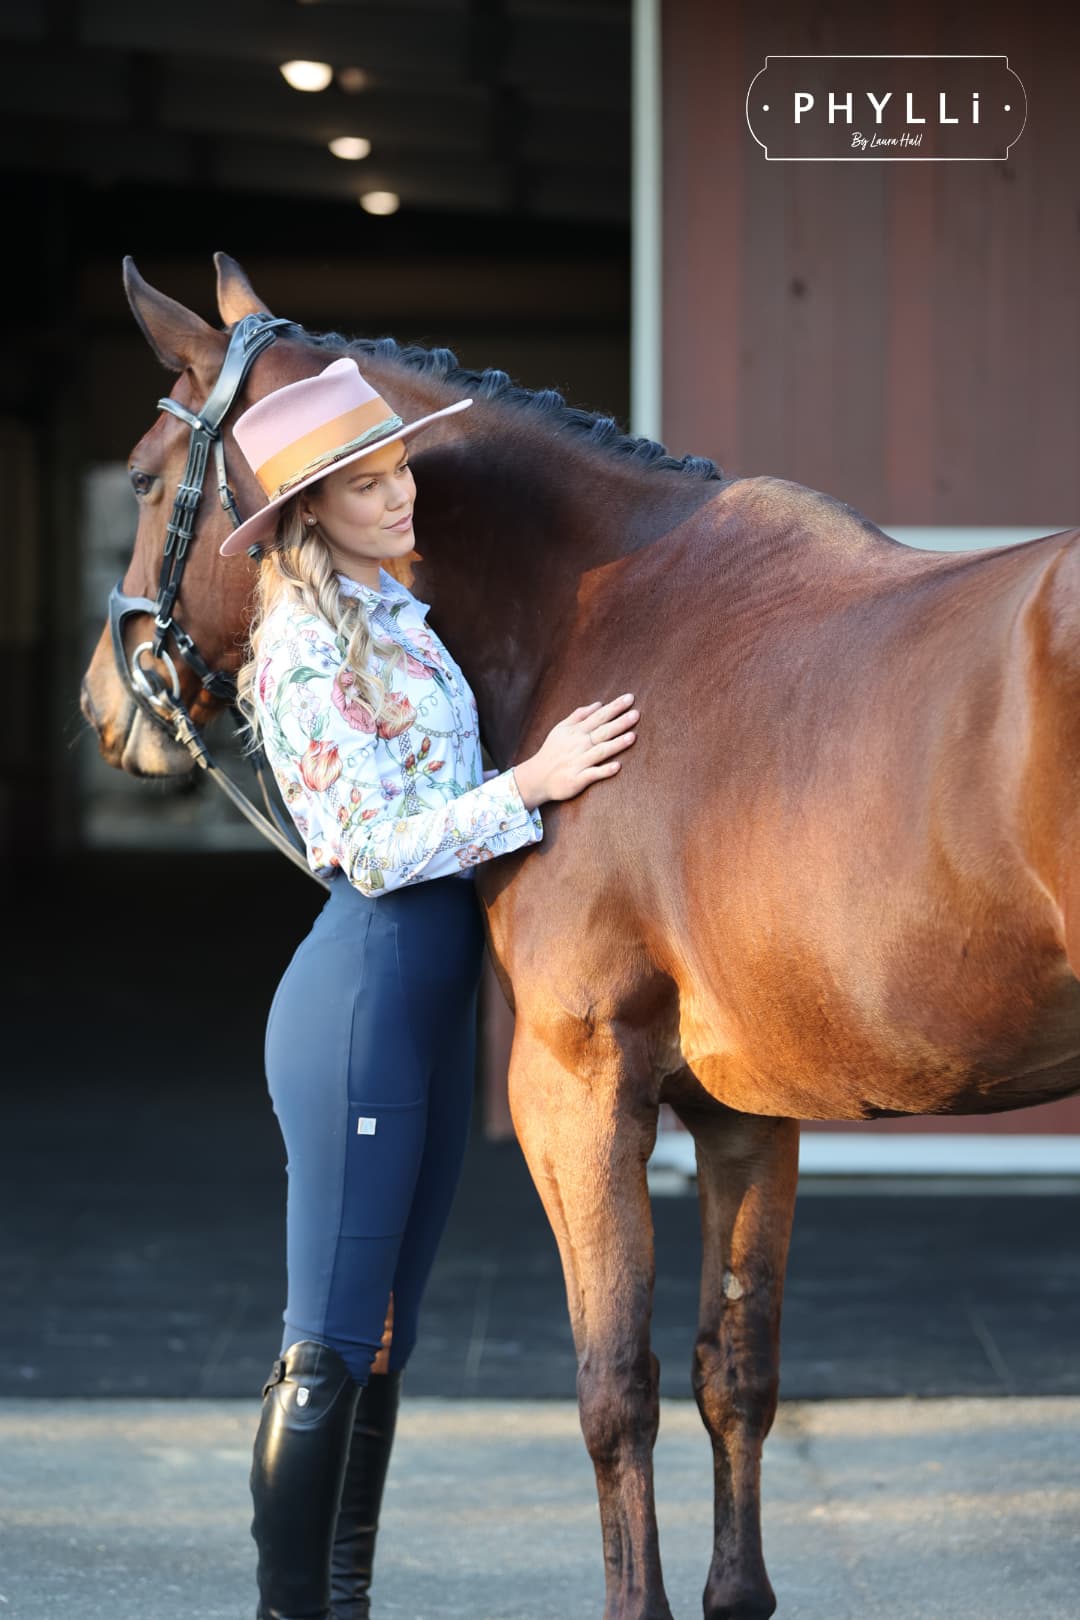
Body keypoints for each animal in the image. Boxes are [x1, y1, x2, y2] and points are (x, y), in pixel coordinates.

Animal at [80, 253, 1080, 1620]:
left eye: (138, 475)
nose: (104, 695)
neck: (605, 610)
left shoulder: (577, 1087)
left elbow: (617, 1388)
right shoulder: (749, 1112)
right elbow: (735, 1373)